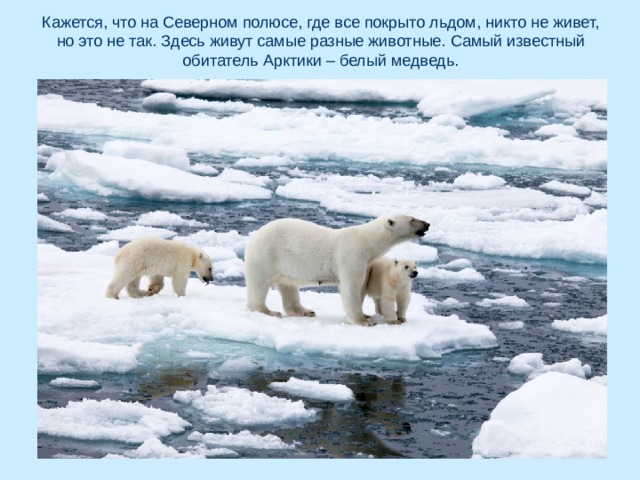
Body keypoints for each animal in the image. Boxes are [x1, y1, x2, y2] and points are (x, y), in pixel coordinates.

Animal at [244, 214, 429, 326]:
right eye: (412, 219)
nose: (427, 224)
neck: (366, 242)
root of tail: (255, 235)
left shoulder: (366, 263)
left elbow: (362, 287)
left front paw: (367, 315)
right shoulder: (352, 256)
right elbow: (351, 288)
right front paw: (364, 321)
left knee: (288, 286)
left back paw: (305, 311)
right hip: (266, 255)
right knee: (259, 284)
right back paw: (268, 311)